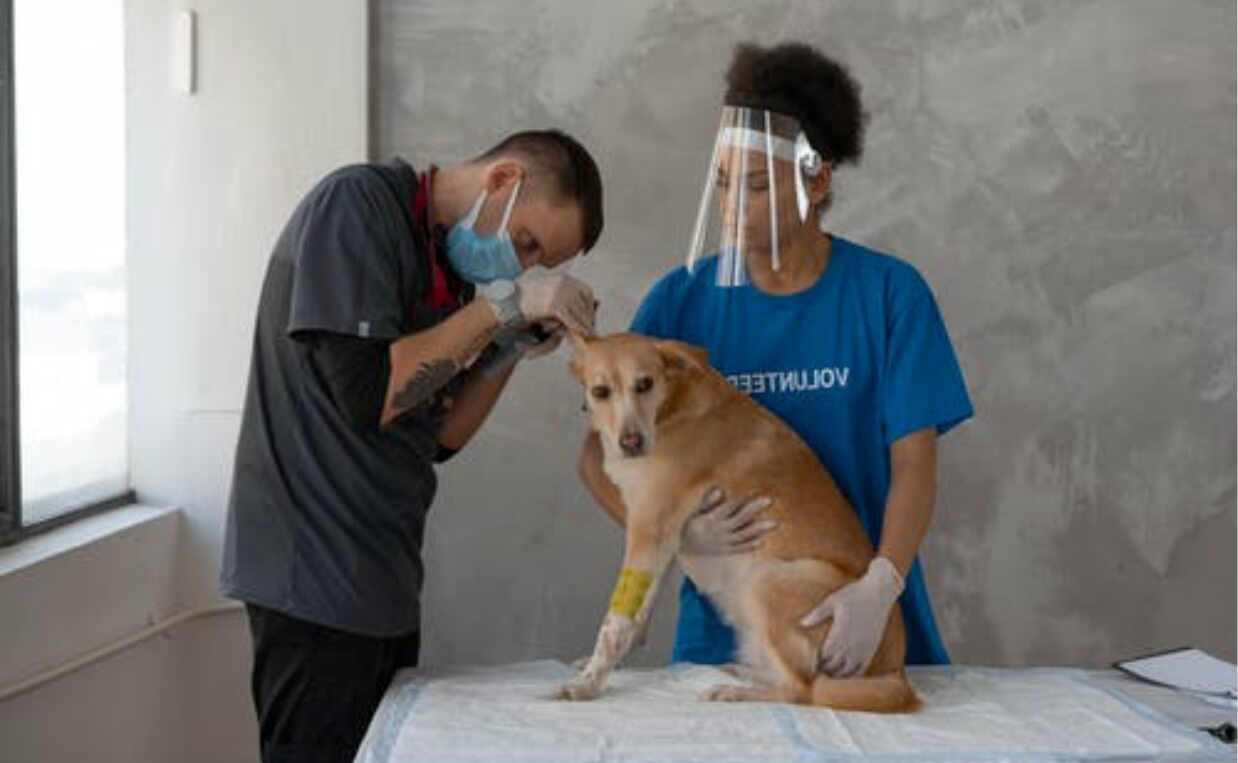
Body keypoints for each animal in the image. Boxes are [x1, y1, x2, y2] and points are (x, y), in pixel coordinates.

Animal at [562, 331, 921, 713]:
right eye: (600, 392)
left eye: (644, 383)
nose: (631, 443)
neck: (670, 410)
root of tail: (897, 672)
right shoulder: (664, 538)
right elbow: (637, 610)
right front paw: (601, 667)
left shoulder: (650, 530)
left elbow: (614, 624)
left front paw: (588, 684)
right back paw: (741, 671)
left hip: (767, 578)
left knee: (802, 690)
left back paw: (735, 691)